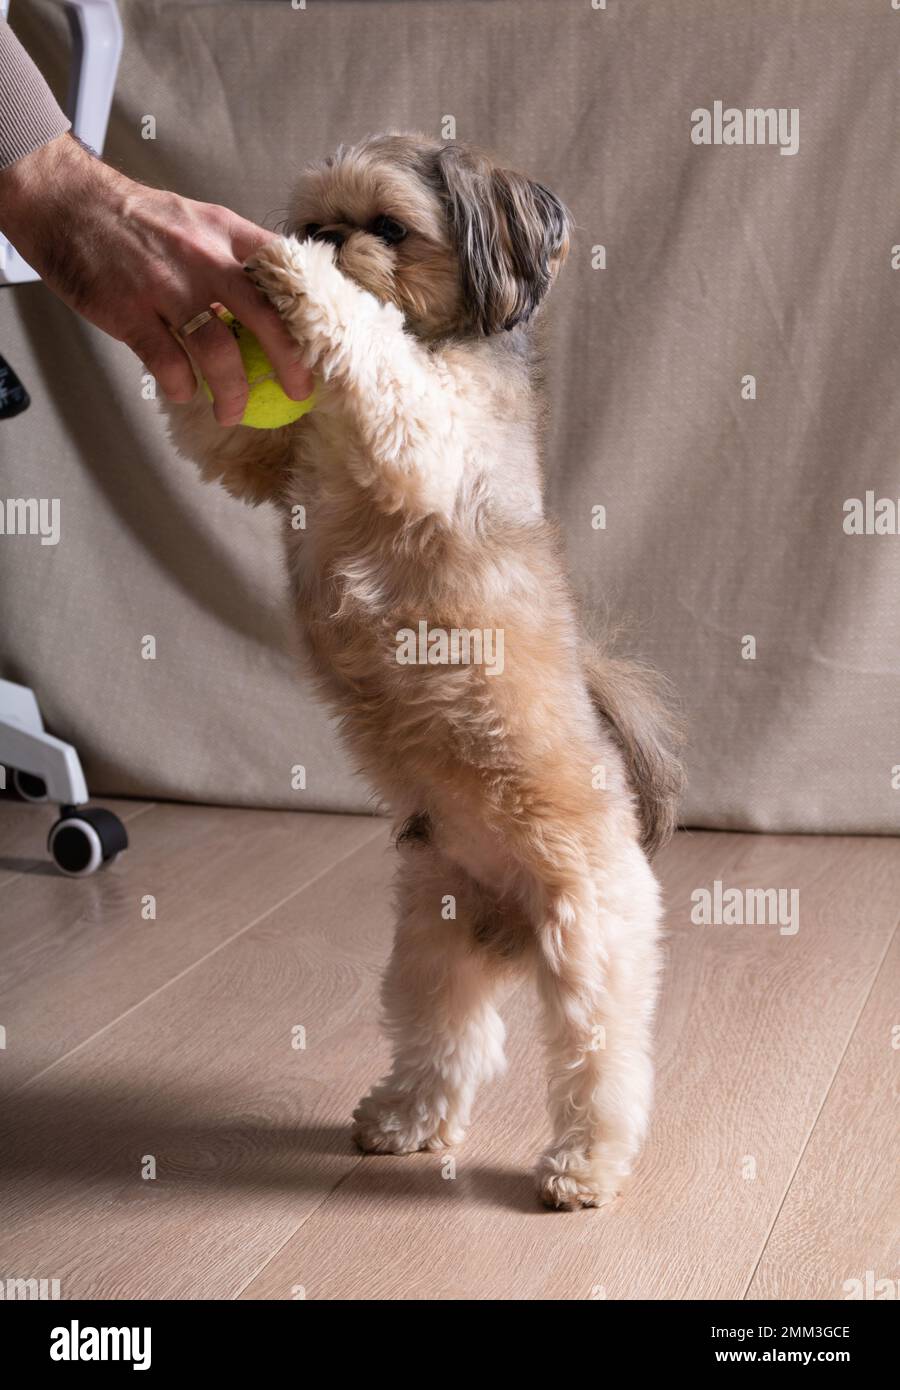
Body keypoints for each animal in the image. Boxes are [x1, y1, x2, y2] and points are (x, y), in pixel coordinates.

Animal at [165, 135, 684, 1212]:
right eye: (318, 212)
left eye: (387, 227)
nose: (323, 237)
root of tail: (513, 920)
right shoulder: (264, 462)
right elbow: (219, 434)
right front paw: (204, 310)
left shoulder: (425, 431)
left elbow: (373, 352)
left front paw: (299, 279)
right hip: (432, 944)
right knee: (449, 1044)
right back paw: (403, 1120)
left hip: (593, 945)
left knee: (603, 1066)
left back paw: (583, 1168)